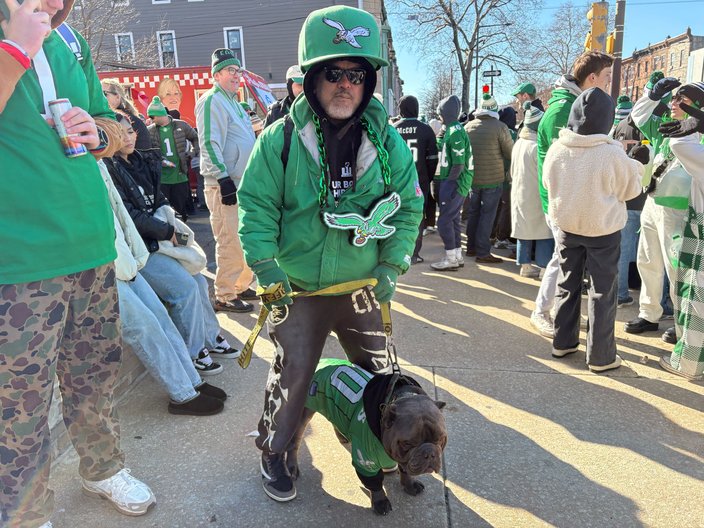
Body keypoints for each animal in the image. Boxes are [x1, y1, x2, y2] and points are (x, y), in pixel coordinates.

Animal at [284, 358, 446, 516]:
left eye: (441, 439)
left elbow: (405, 470)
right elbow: (375, 483)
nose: (429, 453)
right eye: (407, 444)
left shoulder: (404, 460)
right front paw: (380, 502)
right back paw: (291, 468)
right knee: (294, 441)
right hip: (304, 412)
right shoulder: (366, 462)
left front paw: (410, 485)